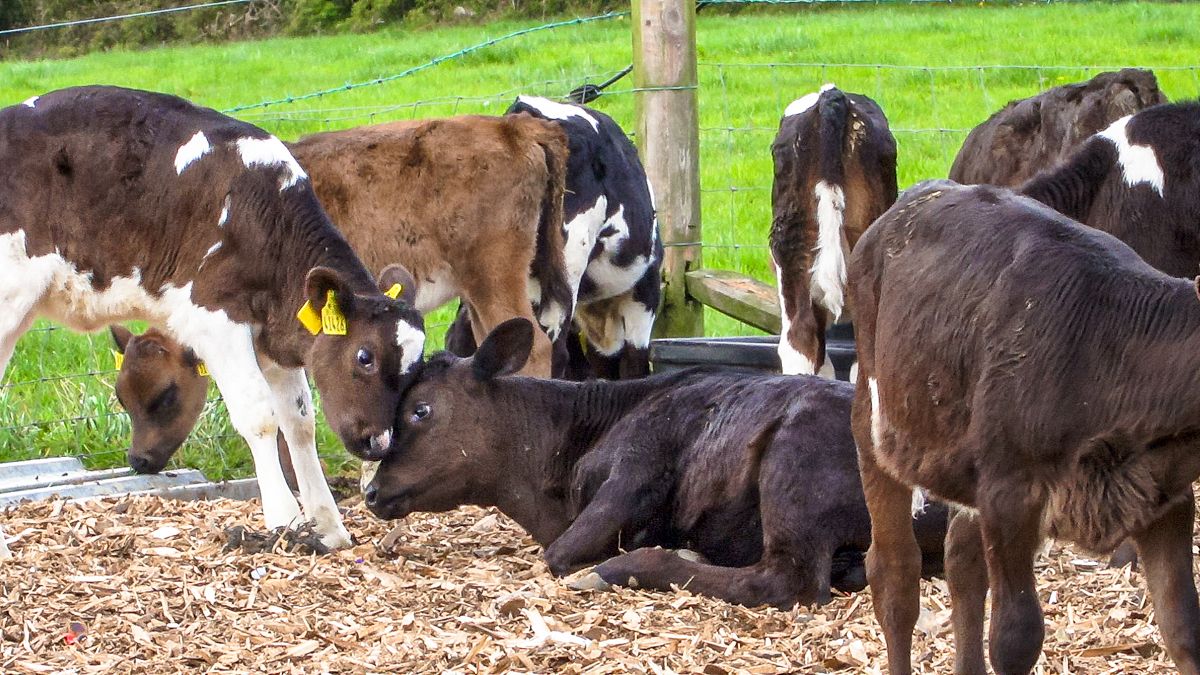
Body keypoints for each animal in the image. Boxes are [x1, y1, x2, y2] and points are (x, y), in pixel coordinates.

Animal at [0, 86, 425, 549]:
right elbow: (260, 415)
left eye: (414, 369)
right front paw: (284, 520)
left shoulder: (273, 334)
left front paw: (328, 527)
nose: (377, 443)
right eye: (364, 357)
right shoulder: (215, 319)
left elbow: (300, 421)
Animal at [361, 318, 949, 609]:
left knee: (787, 582)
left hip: (795, 465)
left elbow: (558, 554)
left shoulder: (640, 469)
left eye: (419, 410)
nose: (370, 491)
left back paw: (640, 565)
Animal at [849, 180, 1200, 674]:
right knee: (894, 575)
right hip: (876, 419)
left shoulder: (1164, 498)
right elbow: (1015, 638)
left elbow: (1183, 628)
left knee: (962, 560)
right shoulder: (1009, 494)